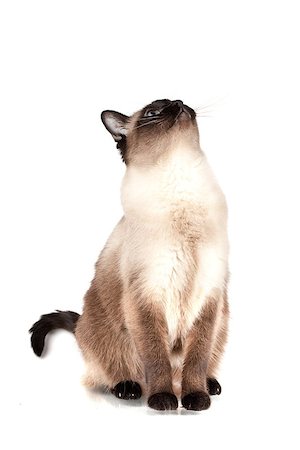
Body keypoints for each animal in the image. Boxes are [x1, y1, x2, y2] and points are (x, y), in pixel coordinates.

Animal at [29, 98, 229, 412]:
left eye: (177, 102)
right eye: (153, 113)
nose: (178, 104)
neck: (181, 181)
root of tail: (81, 322)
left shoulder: (208, 294)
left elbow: (197, 358)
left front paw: (196, 397)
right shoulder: (146, 293)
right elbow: (156, 356)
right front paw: (163, 400)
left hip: (223, 322)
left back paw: (210, 385)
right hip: (105, 333)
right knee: (110, 371)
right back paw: (129, 388)